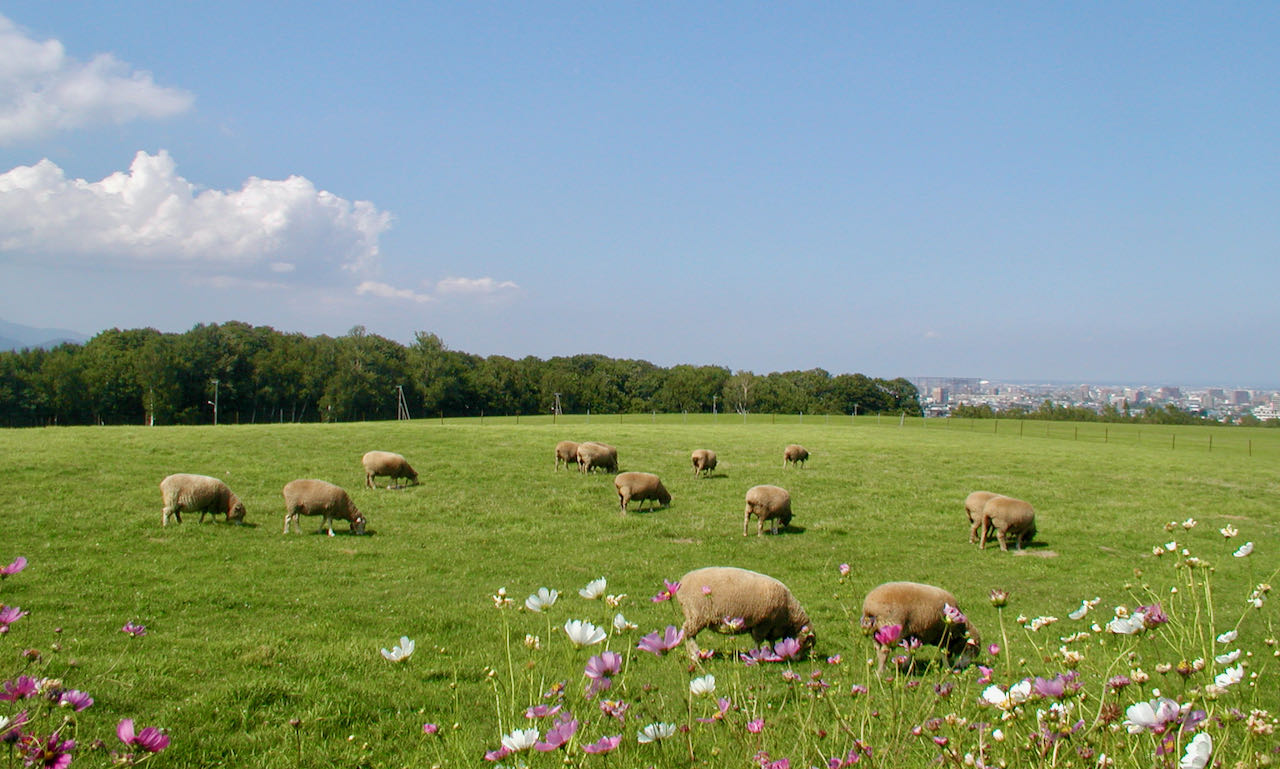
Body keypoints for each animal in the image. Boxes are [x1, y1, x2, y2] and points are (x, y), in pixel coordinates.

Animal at [675, 562, 814, 660]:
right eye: (807, 645)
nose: (798, 660)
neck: (788, 614)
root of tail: (682, 581)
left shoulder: (771, 627)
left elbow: (772, 642)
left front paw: (773, 653)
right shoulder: (762, 623)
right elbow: (758, 641)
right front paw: (758, 655)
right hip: (696, 614)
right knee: (688, 634)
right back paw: (694, 656)